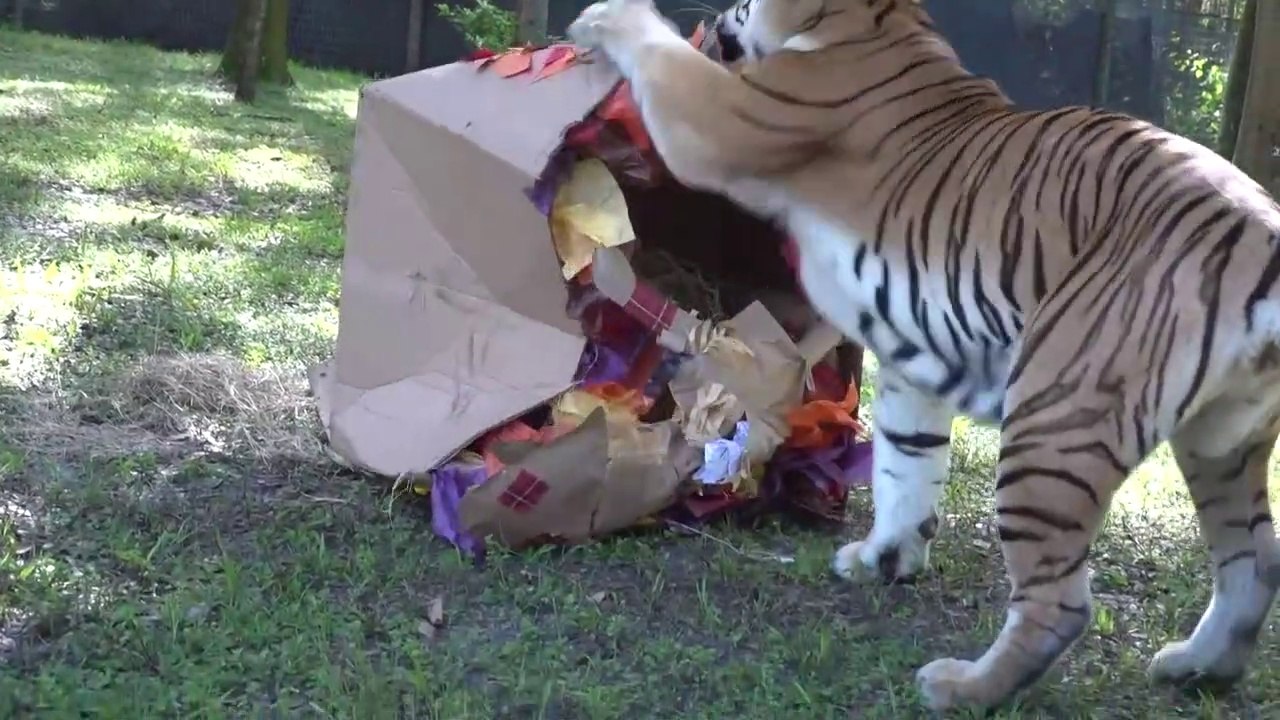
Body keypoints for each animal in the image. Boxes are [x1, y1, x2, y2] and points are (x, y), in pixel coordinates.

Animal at [566, 0, 1280, 712]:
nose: (719, 19)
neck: (872, 22)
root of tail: (1262, 233)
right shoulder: (914, 363)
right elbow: (903, 468)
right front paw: (881, 559)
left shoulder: (724, 116)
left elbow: (660, 54)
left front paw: (602, 18)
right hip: (1220, 444)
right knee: (1254, 562)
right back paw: (1197, 667)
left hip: (1056, 418)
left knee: (1061, 602)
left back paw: (963, 687)